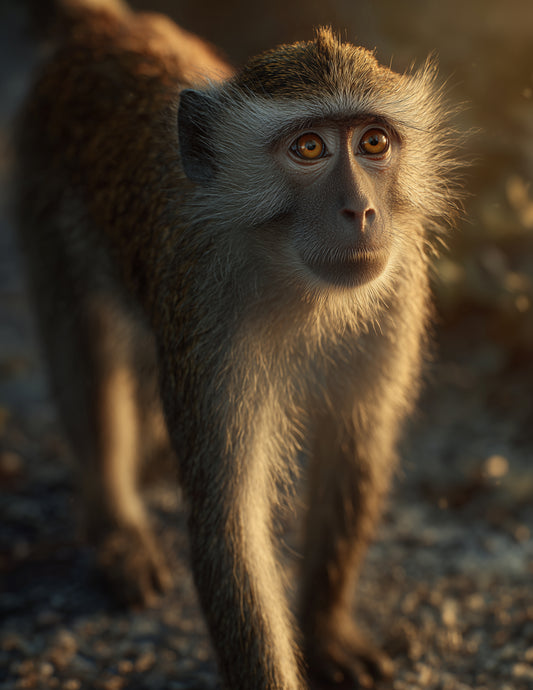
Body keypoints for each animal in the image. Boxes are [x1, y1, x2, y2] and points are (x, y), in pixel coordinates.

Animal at [12, 0, 460, 688]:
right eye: (309, 147)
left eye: (374, 142)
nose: (360, 211)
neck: (295, 282)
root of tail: (102, 29)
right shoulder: (205, 315)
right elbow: (230, 523)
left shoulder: (397, 289)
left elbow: (354, 448)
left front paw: (325, 628)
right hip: (42, 187)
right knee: (83, 343)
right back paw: (115, 523)